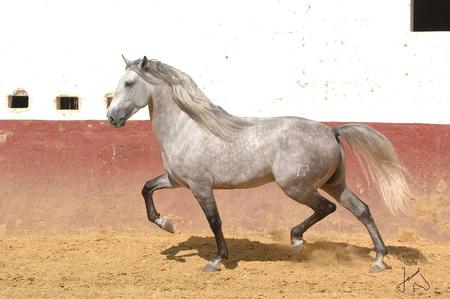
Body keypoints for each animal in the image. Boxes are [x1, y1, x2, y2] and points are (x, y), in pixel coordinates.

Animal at [107, 55, 410, 274]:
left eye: (129, 83)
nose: (111, 117)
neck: (186, 128)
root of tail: (332, 131)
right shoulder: (176, 180)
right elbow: (146, 188)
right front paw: (165, 223)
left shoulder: (200, 186)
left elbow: (214, 221)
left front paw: (216, 260)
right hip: (334, 184)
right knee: (361, 210)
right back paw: (378, 260)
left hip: (296, 187)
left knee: (327, 208)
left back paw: (297, 241)